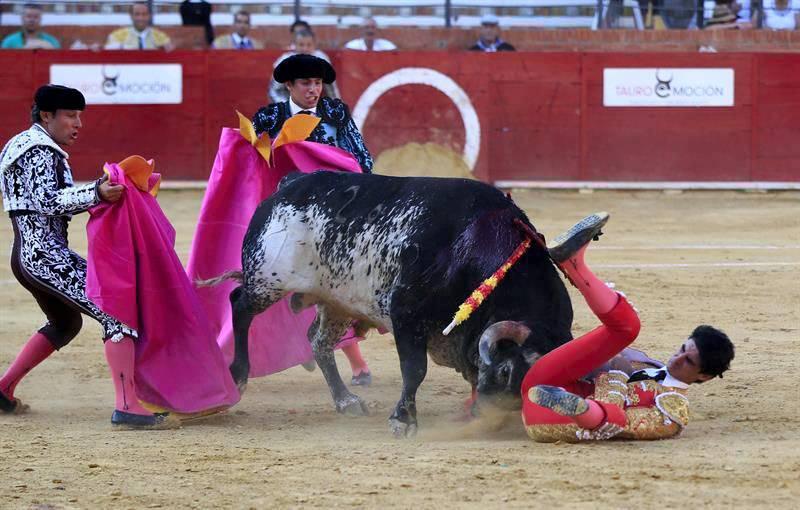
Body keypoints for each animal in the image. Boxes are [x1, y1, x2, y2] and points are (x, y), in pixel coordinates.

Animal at [225, 173, 576, 436]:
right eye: (505, 371)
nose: (490, 418)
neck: (475, 245)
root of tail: (290, 183)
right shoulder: (405, 312)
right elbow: (414, 369)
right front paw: (403, 420)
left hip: (337, 301)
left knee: (319, 342)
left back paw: (346, 401)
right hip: (267, 279)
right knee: (239, 306)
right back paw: (238, 376)